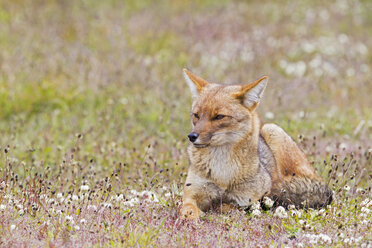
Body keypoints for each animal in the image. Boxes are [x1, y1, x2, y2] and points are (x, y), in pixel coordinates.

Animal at [179, 69, 332, 220]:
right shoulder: (190, 196)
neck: (221, 172)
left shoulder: (247, 200)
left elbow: (225, 207)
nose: (192, 136)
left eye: (219, 116)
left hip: (271, 130)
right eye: (196, 115)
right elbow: (188, 211)